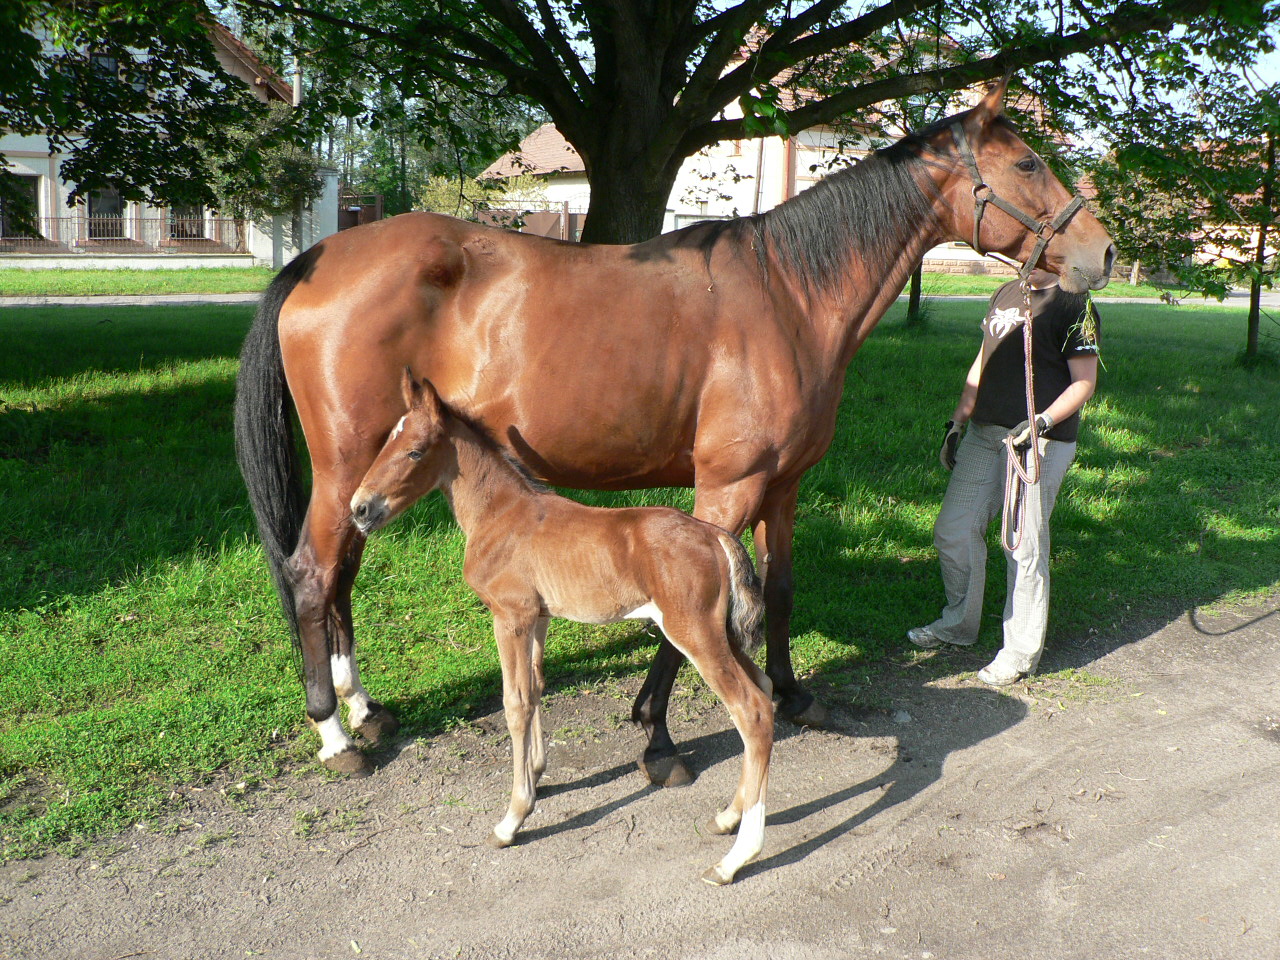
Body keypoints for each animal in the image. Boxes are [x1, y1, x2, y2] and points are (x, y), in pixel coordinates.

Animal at [345, 371, 773, 885]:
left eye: (414, 451)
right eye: (385, 442)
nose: (359, 509)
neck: (501, 515)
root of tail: (715, 535)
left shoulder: (509, 616)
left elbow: (513, 702)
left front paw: (513, 817)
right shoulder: (538, 617)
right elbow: (535, 688)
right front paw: (535, 776)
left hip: (694, 632)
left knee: (750, 710)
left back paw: (735, 858)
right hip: (722, 632)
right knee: (765, 690)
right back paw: (729, 816)